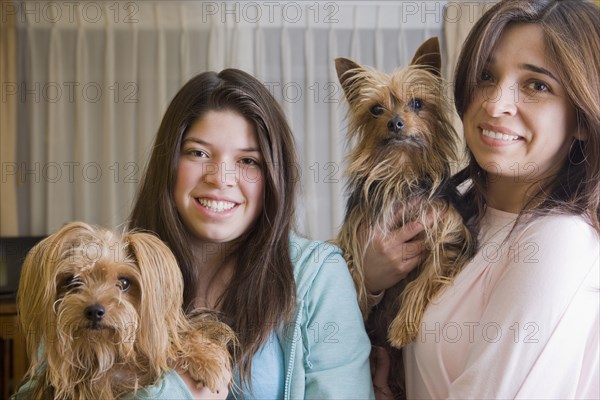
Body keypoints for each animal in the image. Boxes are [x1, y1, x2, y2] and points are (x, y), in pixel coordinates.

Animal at [336, 36, 476, 394]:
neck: (401, 171)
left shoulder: (446, 228)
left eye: (416, 103)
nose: (396, 123)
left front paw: (402, 328)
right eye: (376, 109)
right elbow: (353, 267)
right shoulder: (357, 231)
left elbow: (430, 273)